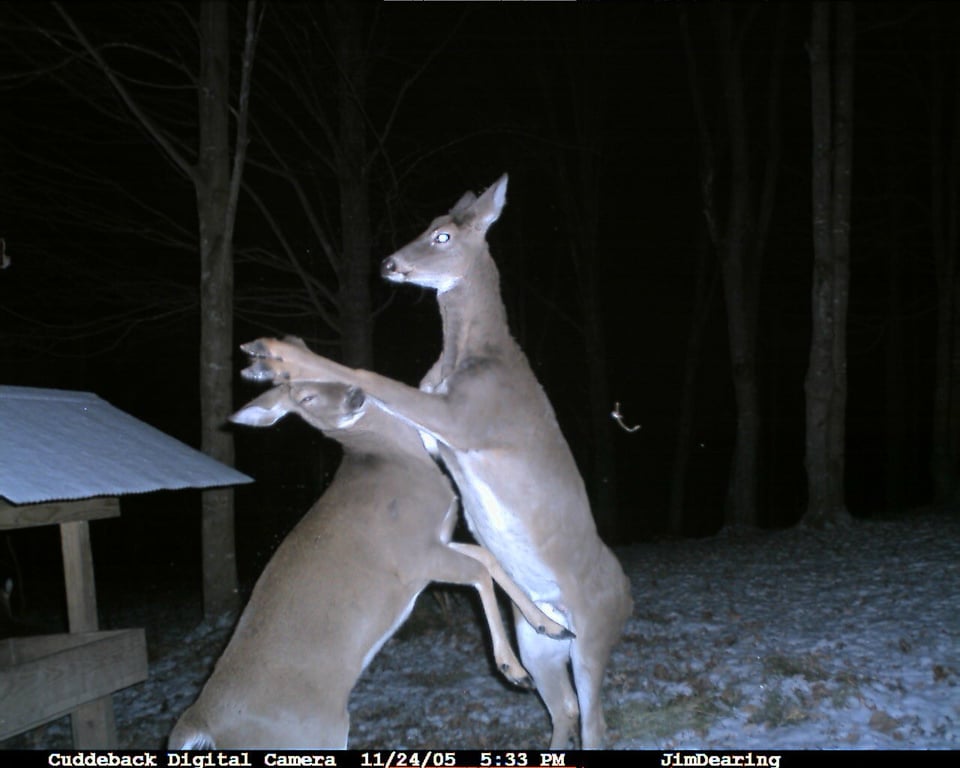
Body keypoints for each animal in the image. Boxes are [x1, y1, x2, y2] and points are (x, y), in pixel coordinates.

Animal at [168, 380, 570, 749]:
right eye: (305, 397)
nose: (354, 393)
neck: (399, 461)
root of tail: (200, 722)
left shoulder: (437, 540)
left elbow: (487, 558)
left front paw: (550, 625)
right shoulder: (414, 556)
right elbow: (480, 573)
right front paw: (513, 669)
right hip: (309, 734)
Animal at [240, 174, 634, 748]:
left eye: (443, 235)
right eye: (426, 225)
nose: (389, 263)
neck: (467, 358)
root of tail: (629, 598)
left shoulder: (468, 418)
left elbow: (372, 377)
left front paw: (272, 351)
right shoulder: (435, 431)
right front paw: (273, 372)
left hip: (595, 636)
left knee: (594, 720)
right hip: (543, 645)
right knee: (562, 706)